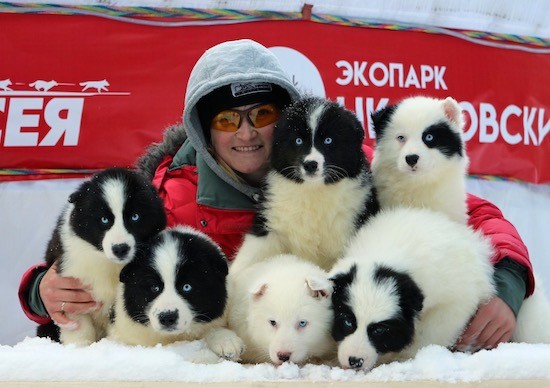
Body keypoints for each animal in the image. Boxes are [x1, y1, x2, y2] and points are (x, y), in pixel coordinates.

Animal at [39, 168, 166, 344]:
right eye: (104, 220)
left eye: (135, 217)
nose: (120, 249)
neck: (108, 263)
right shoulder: (73, 285)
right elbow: (79, 330)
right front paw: (80, 347)